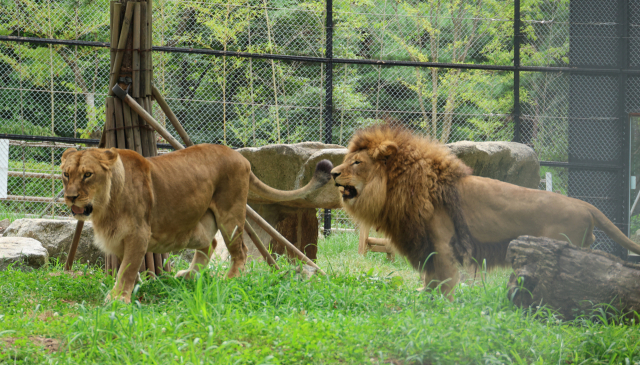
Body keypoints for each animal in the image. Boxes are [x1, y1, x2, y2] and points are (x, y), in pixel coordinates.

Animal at [60, 144, 332, 302]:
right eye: (66, 174)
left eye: (87, 174)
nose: (70, 197)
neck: (105, 204)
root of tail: (239, 156)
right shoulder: (119, 238)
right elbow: (127, 268)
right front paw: (132, 288)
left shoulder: (139, 233)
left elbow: (127, 268)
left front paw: (119, 298)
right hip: (197, 224)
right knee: (210, 245)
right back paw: (190, 275)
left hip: (230, 215)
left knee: (241, 250)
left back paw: (230, 279)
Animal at [332, 125, 640, 298]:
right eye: (347, 160)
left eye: (357, 162)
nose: (333, 172)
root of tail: (585, 204)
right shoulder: (428, 246)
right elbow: (431, 280)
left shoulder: (442, 244)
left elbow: (443, 281)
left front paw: (439, 308)